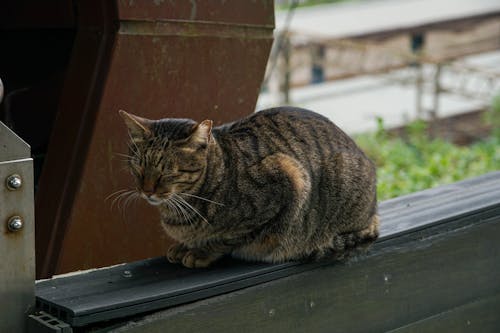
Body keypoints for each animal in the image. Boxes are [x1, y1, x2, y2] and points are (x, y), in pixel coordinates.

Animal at [119, 106, 378, 268]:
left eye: (167, 171)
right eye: (138, 166)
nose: (147, 190)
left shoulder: (288, 178)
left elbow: (229, 237)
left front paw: (201, 251)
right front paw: (184, 246)